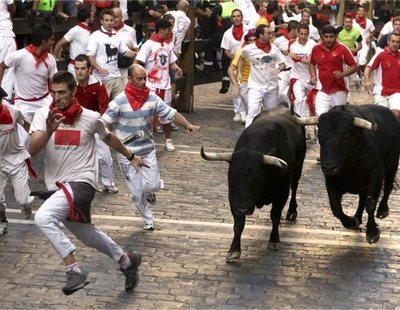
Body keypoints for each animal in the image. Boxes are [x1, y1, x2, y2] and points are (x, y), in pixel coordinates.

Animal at [200, 108, 306, 262]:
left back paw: (292, 211)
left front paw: (274, 240)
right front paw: (234, 250)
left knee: (295, 186)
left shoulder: (281, 193)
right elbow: (238, 225)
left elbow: (275, 215)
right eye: (232, 178)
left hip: (298, 168)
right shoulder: (234, 198)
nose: (243, 209)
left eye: (257, 179)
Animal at [312, 104, 400, 245]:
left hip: (392, 165)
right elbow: (335, 207)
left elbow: (370, 204)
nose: (329, 167)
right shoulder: (330, 181)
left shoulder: (375, 177)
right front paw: (350, 222)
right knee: (361, 200)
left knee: (388, 187)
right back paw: (357, 218)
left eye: (346, 137)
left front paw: (372, 232)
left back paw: (382, 210)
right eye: (321, 136)